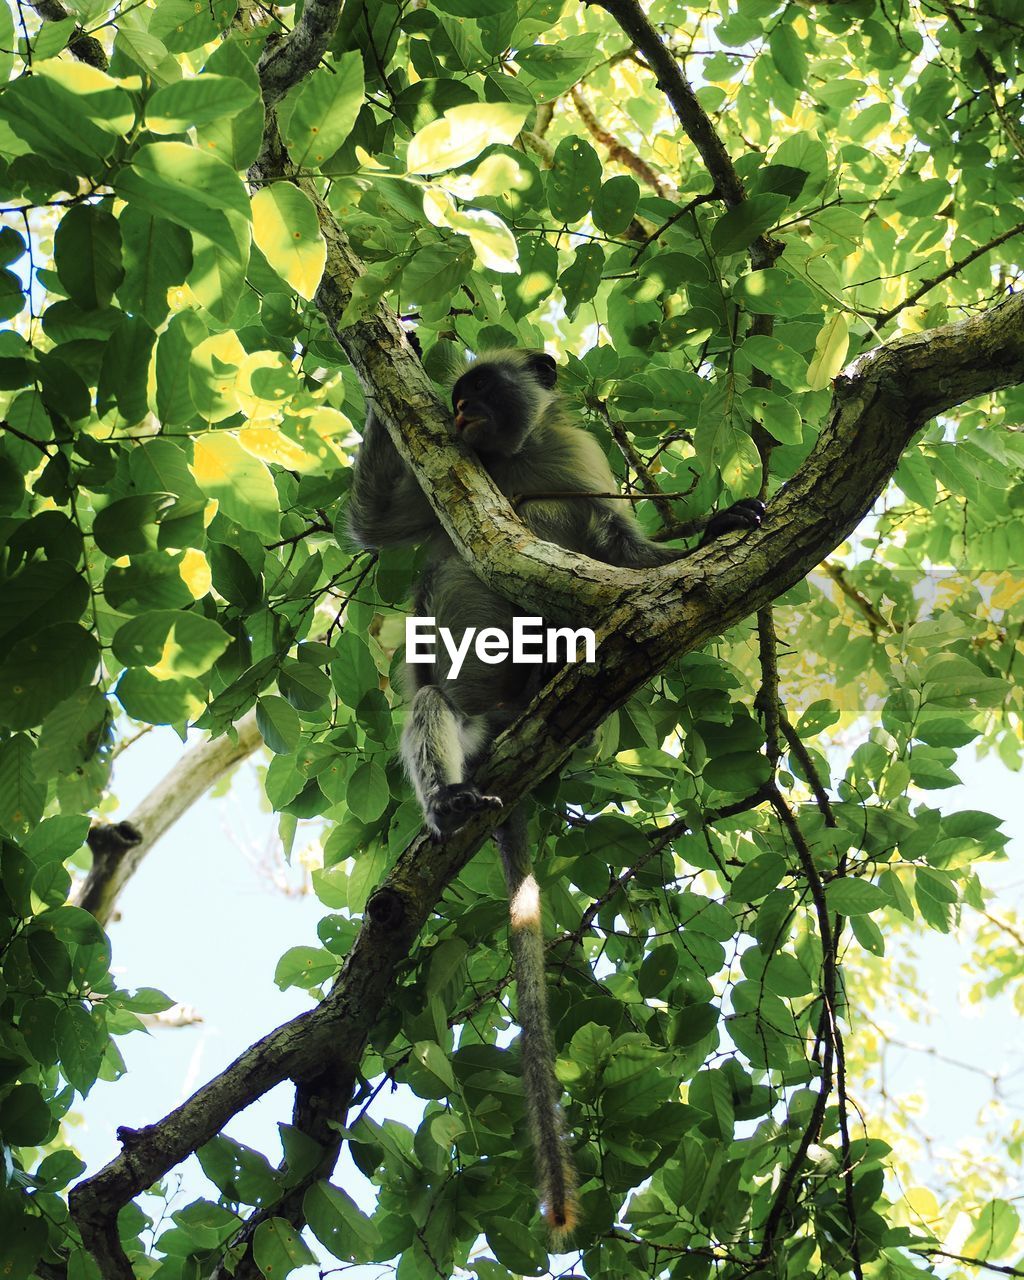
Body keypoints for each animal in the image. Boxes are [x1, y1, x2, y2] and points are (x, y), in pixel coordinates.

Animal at [348, 348, 762, 1239]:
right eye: (459, 396)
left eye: (483, 390)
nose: (461, 409)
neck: (510, 459)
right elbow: (375, 525)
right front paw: (392, 348)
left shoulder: (577, 464)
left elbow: (620, 546)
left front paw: (714, 532)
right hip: (469, 715)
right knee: (432, 700)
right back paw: (451, 801)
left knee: (557, 532)